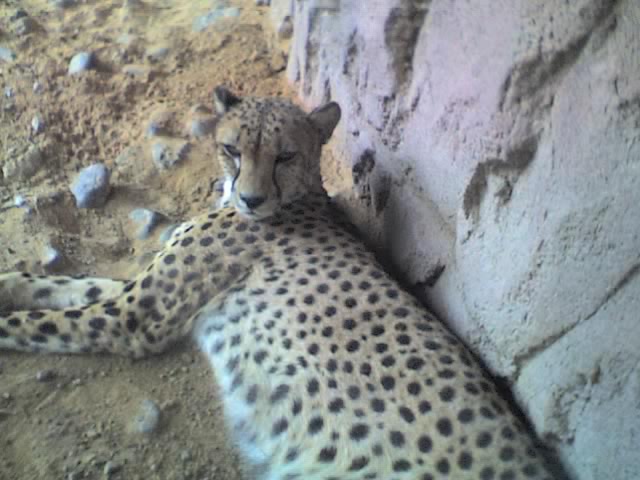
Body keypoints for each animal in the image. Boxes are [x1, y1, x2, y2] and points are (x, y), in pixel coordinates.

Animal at [0, 87, 560, 480]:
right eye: (231, 149)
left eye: (285, 156)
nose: (250, 199)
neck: (295, 198)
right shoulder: (138, 299)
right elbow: (70, 287)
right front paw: (9, 280)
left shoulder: (135, 319)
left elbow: (43, 321)